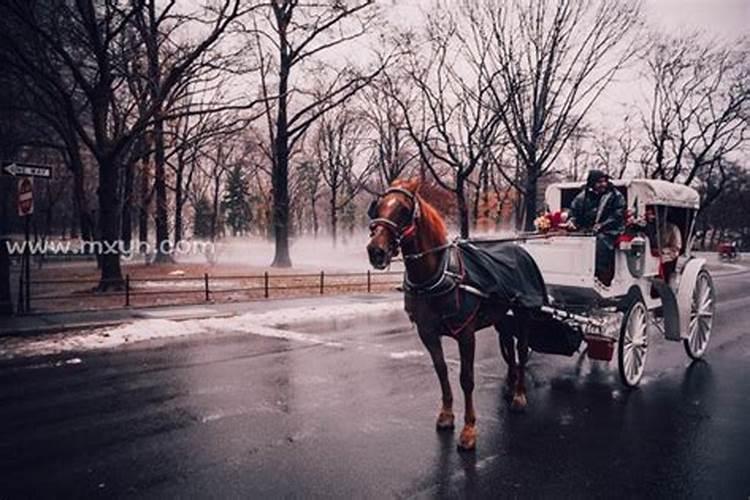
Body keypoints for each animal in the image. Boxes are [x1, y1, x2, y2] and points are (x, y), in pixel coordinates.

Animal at [368, 179, 544, 454]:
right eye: (377, 207)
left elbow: (467, 379)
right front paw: (446, 414)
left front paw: (469, 430)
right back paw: (510, 382)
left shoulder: (466, 334)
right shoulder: (428, 333)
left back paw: (519, 394)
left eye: (404, 210)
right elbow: (441, 371)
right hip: (502, 318)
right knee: (509, 345)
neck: (437, 275)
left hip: (523, 313)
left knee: (523, 350)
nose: (376, 251)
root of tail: (519, 250)